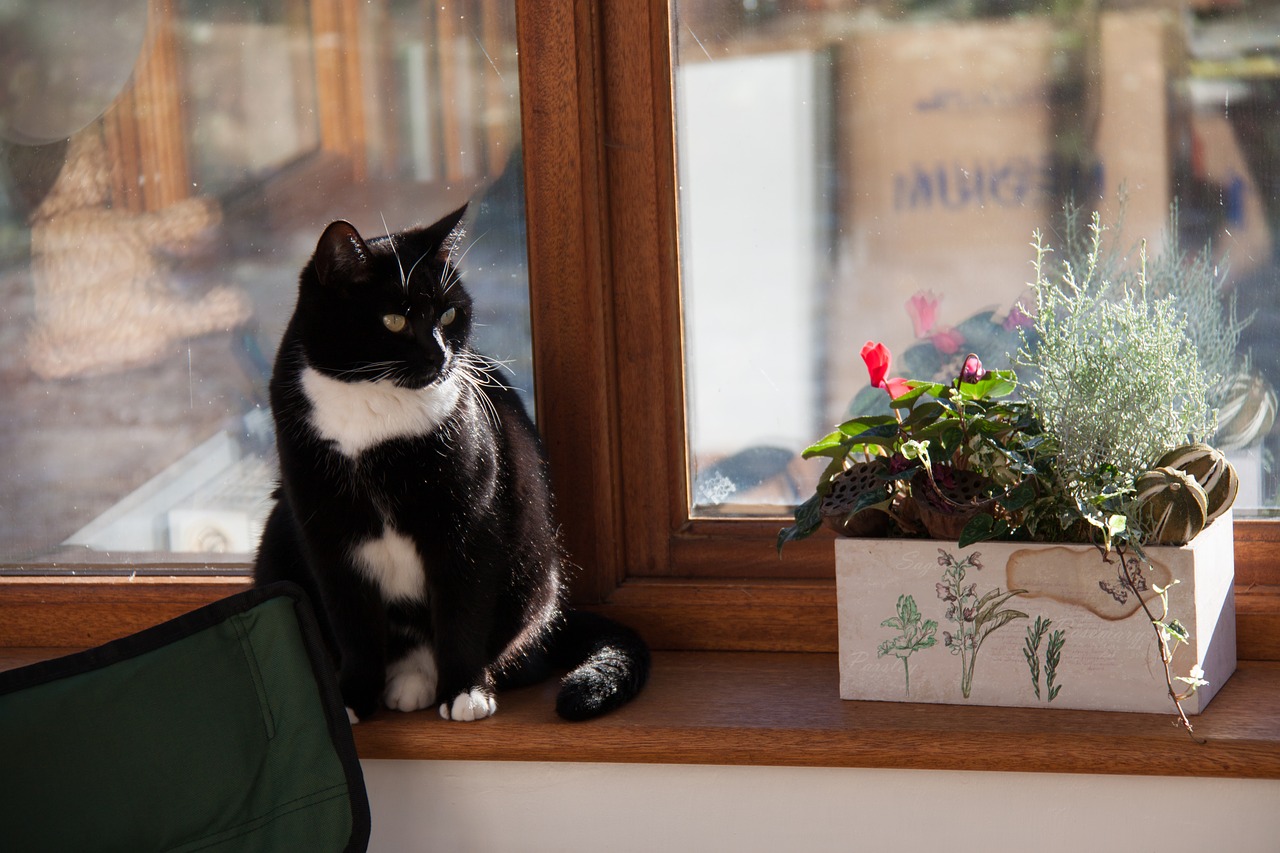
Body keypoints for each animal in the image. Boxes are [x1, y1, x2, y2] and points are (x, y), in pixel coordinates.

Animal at [252, 204, 650, 717]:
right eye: (394, 320)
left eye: (449, 312)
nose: (439, 353)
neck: (373, 417)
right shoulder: (326, 531)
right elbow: (352, 622)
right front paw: (352, 697)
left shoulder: (467, 520)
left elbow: (463, 610)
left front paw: (464, 691)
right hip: (279, 534)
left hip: (535, 571)